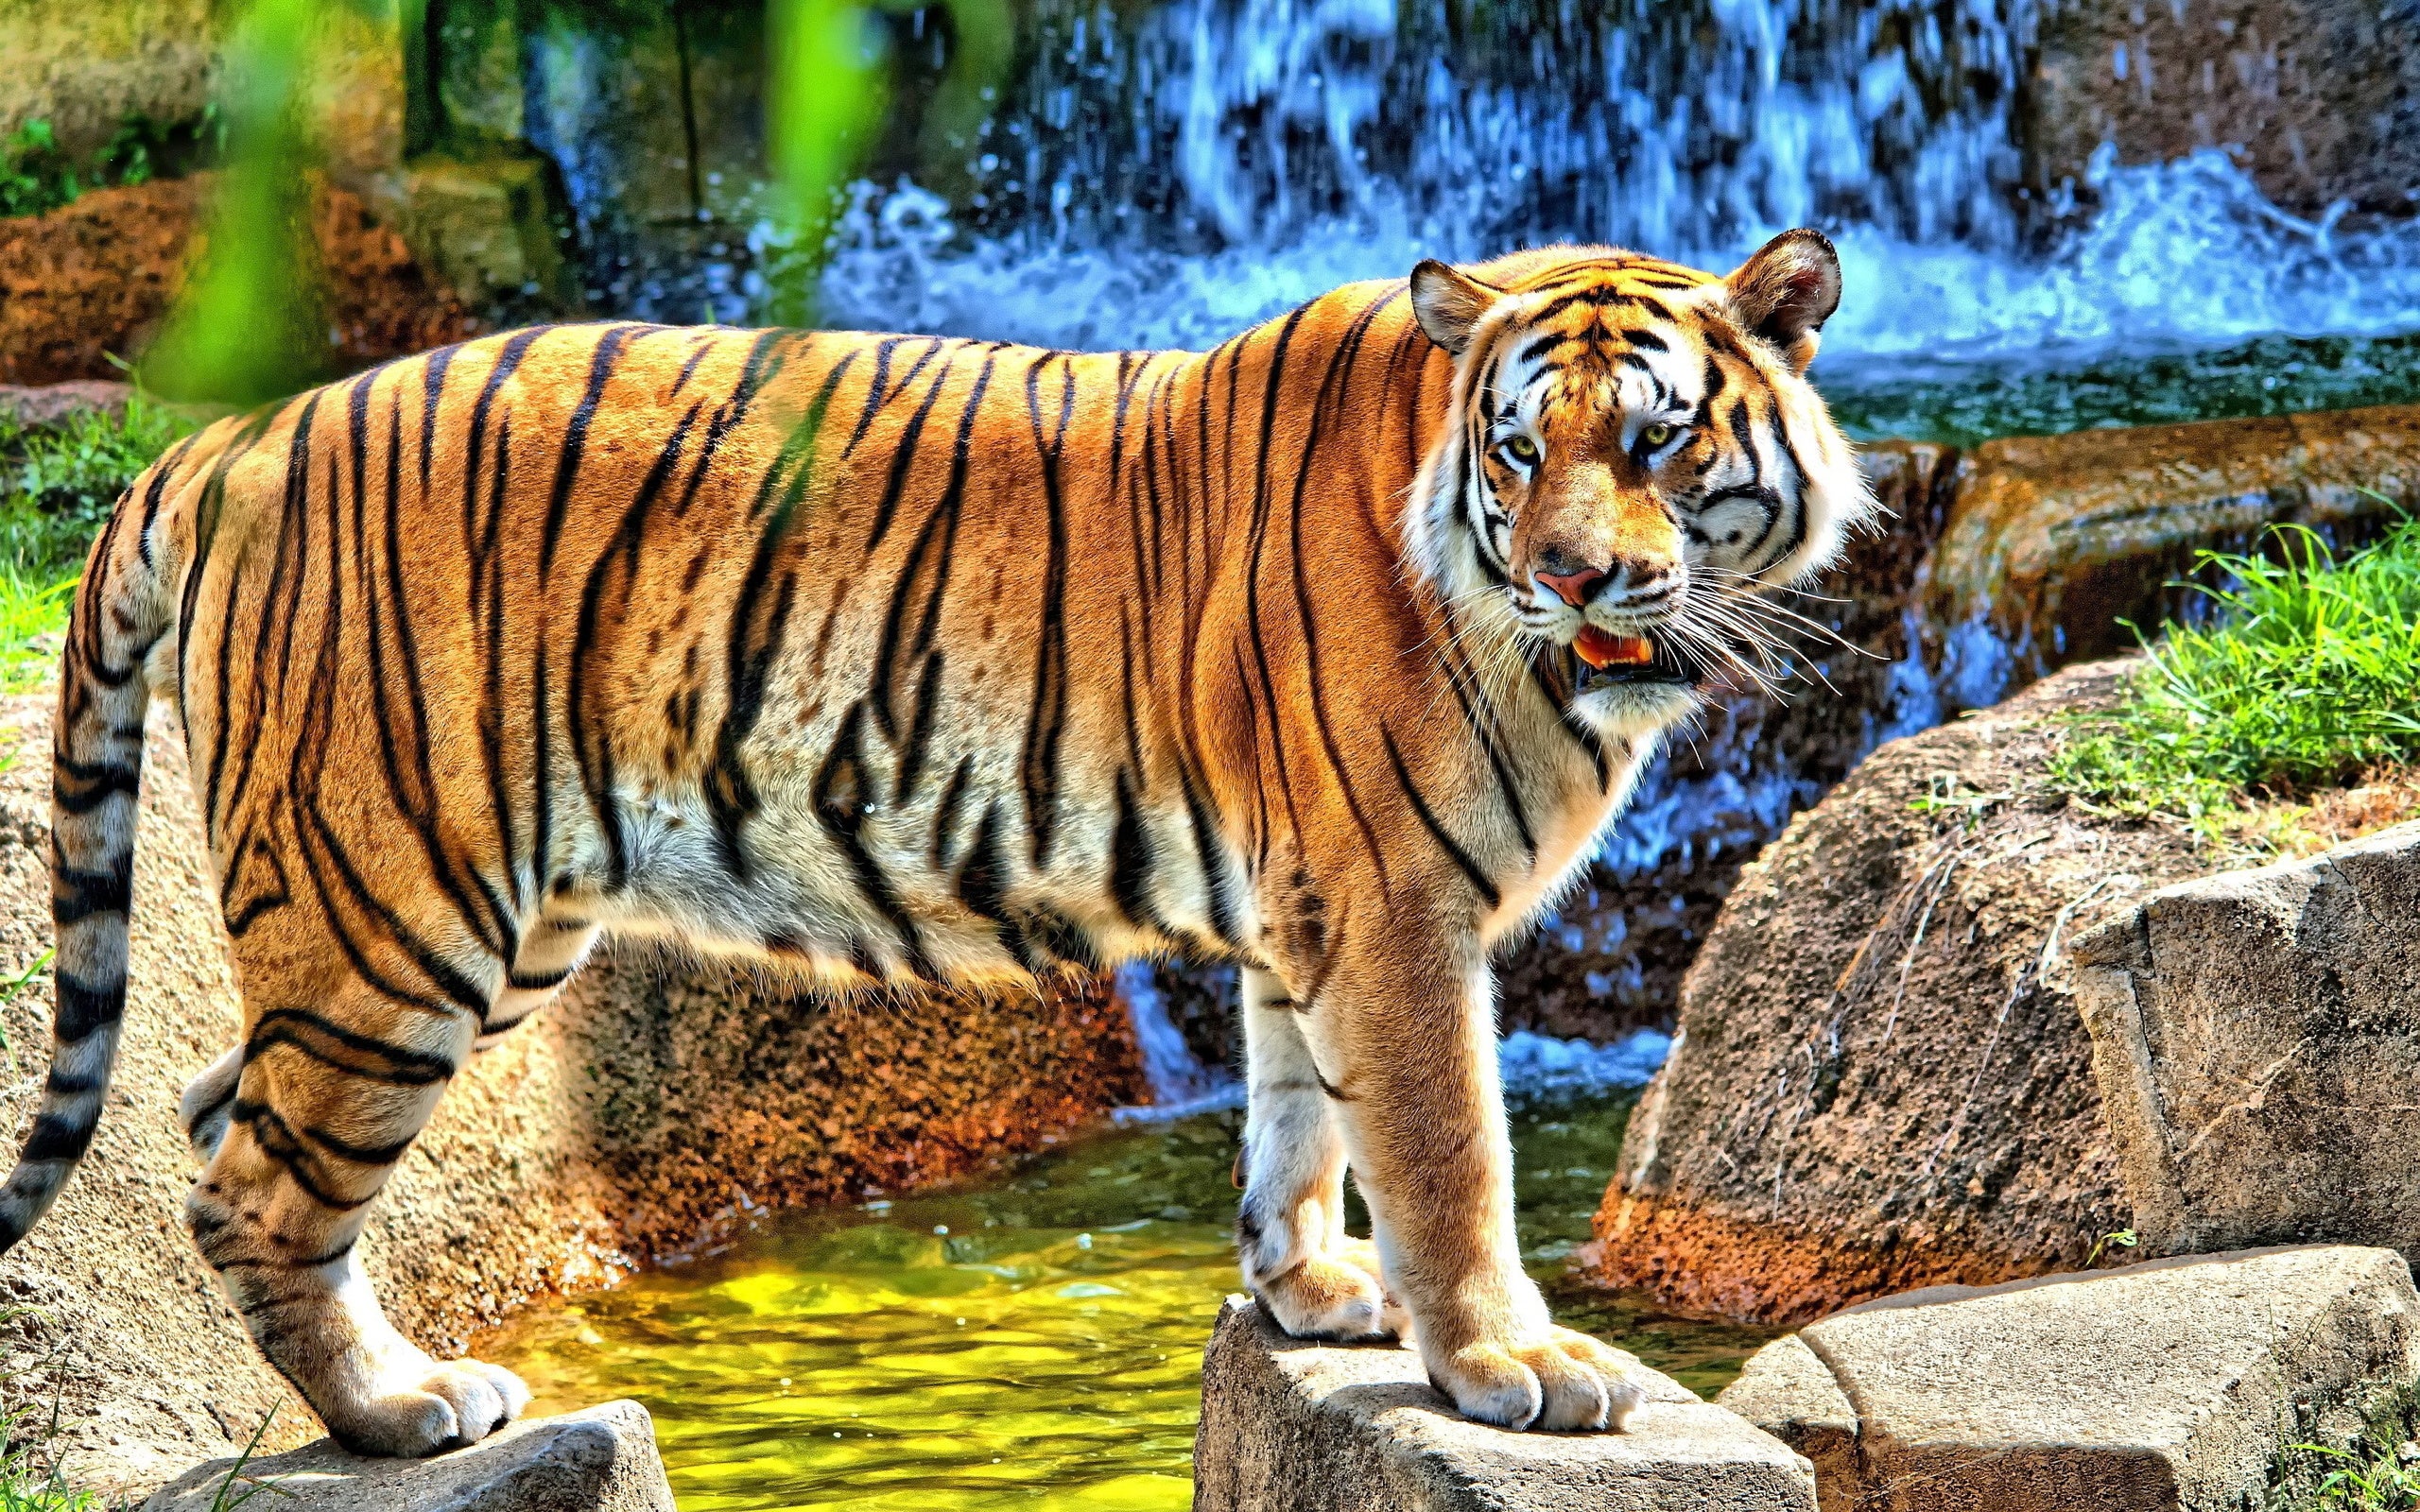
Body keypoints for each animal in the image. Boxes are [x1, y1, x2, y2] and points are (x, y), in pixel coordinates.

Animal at [0, 229, 1867, 1454]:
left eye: (1657, 442)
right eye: (1520, 448)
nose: (1572, 574)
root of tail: (232, 434)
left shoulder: (1311, 901)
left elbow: (1294, 1114)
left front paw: (1312, 1291)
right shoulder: (1392, 903)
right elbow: (1446, 1147)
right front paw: (1508, 1365)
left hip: (456, 924)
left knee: (215, 1109)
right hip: (399, 910)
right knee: (254, 1187)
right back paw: (404, 1409)